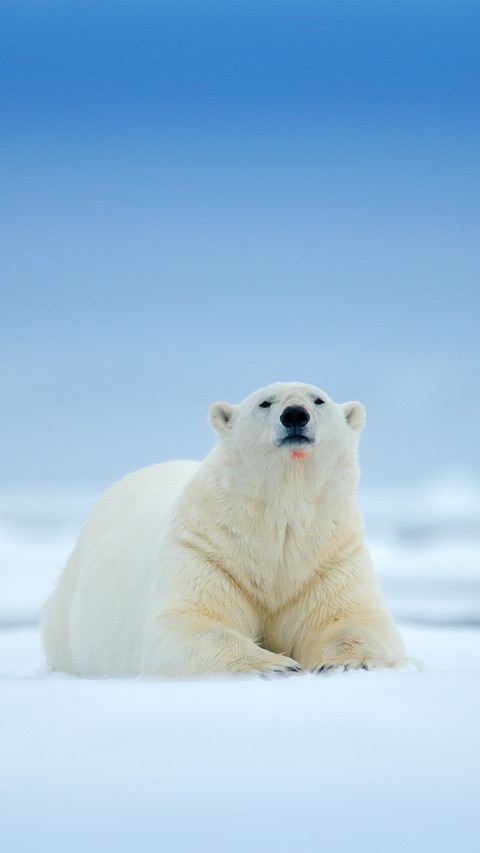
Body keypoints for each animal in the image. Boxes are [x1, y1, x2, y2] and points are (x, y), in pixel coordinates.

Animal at [42, 381, 406, 678]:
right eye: (264, 402)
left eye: (319, 400)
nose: (294, 414)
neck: (279, 521)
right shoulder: (208, 549)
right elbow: (190, 623)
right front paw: (275, 665)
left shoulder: (327, 558)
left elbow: (352, 620)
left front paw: (345, 663)